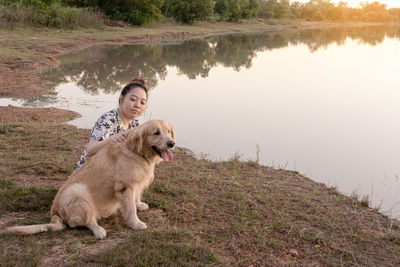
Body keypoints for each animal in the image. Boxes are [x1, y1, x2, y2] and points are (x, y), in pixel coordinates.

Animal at [7, 120, 174, 240]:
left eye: (168, 131)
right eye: (156, 133)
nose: (172, 143)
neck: (137, 152)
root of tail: (54, 214)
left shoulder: (135, 184)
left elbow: (136, 198)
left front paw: (139, 204)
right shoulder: (124, 186)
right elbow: (130, 209)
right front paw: (136, 224)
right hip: (78, 191)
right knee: (88, 221)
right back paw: (99, 230)